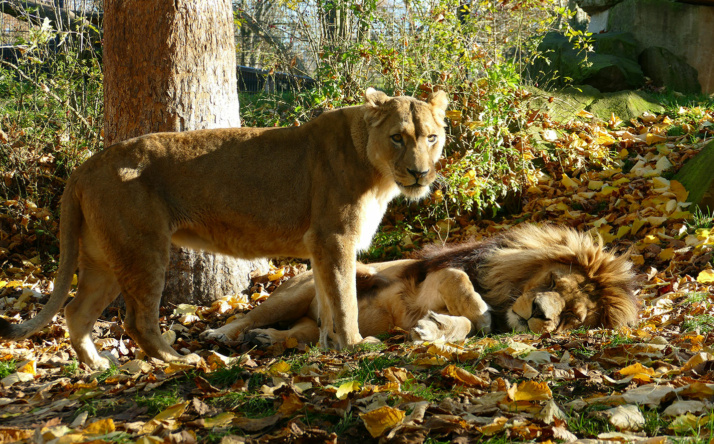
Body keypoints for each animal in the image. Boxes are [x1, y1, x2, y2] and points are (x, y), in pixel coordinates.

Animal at [0, 88, 444, 370]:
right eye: (398, 138)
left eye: (432, 138)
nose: (420, 173)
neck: (377, 169)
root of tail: (86, 165)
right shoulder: (333, 238)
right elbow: (345, 299)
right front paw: (355, 346)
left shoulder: (320, 246)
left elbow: (327, 298)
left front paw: (327, 347)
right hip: (143, 249)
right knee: (137, 321)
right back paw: (179, 361)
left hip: (104, 257)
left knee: (76, 312)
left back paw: (98, 365)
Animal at [203, 224, 636, 346]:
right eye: (551, 279)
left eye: (572, 317)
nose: (538, 313)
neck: (502, 295)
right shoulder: (438, 276)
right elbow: (464, 287)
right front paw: (478, 315)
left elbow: (464, 325)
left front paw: (433, 330)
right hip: (300, 291)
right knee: (247, 316)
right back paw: (221, 333)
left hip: (314, 323)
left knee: (306, 333)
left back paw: (267, 339)